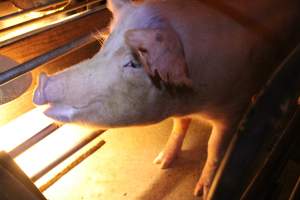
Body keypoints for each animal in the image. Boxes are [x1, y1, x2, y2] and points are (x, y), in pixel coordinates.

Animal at [32, 0, 300, 198]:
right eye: (103, 47)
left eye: (134, 63)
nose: (42, 82)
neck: (192, 101)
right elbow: (178, 126)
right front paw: (161, 162)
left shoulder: (232, 107)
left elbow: (215, 146)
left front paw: (201, 191)